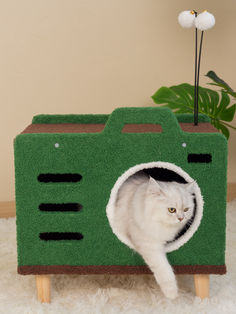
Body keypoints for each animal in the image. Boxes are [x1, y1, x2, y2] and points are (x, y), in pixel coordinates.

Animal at [113, 172, 195, 300]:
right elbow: (164, 269)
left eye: (186, 209)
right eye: (172, 210)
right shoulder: (149, 244)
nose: (181, 218)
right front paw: (172, 294)